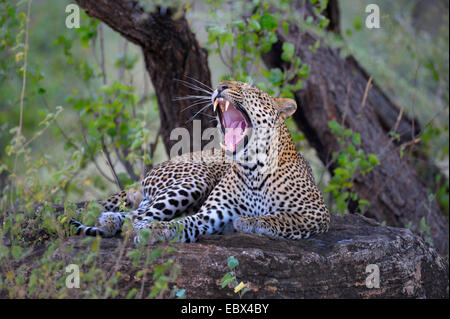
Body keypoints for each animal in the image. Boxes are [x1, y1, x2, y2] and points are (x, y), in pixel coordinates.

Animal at [70, 81, 330, 244]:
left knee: (136, 213)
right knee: (139, 215)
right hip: (194, 180)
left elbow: (282, 217)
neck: (252, 168)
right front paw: (155, 231)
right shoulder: (212, 213)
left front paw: (250, 222)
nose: (221, 85)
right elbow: (182, 224)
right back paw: (111, 222)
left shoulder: (316, 213)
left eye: (249, 88)